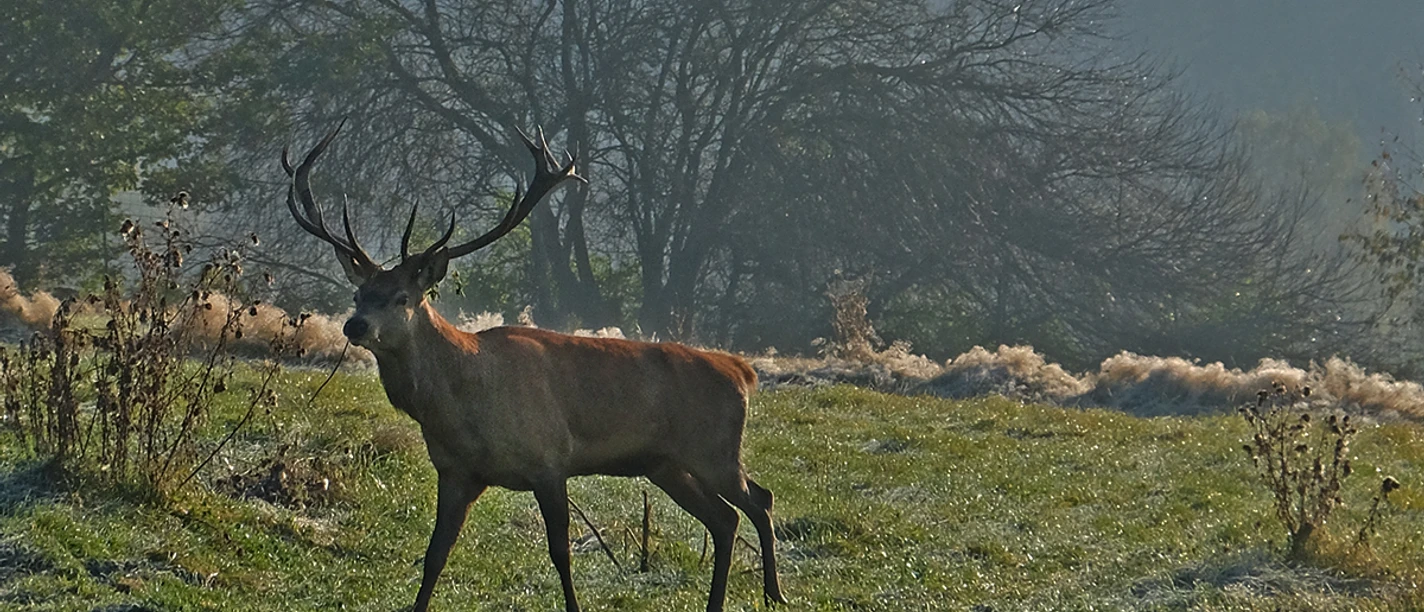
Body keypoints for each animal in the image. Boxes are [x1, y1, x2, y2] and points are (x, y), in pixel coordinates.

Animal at [279, 122, 787, 612]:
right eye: (359, 294)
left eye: (402, 297)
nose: (354, 325)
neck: (462, 406)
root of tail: (743, 372)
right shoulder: (455, 471)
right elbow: (435, 553)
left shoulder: (549, 459)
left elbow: (560, 552)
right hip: (665, 464)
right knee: (725, 518)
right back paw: (726, 600)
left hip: (714, 450)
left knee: (758, 499)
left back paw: (774, 593)